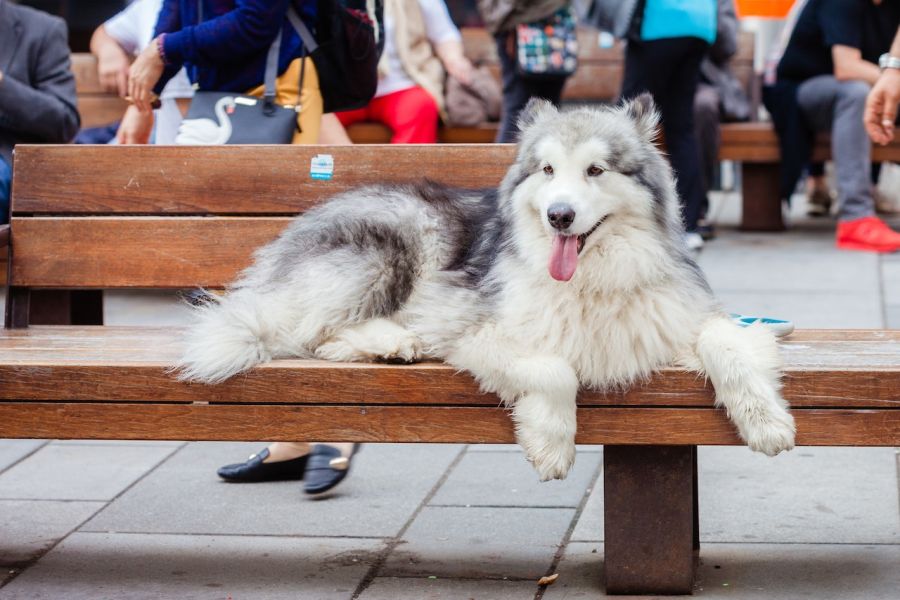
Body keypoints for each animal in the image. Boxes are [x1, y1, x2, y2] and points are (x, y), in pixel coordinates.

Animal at [179, 96, 800, 480]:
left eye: (596, 171)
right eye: (547, 170)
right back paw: (390, 341)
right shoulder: (470, 324)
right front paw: (551, 443)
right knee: (307, 334)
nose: (558, 216)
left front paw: (766, 422)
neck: (593, 278)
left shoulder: (673, 318)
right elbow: (554, 368)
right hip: (394, 244)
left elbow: (728, 343)